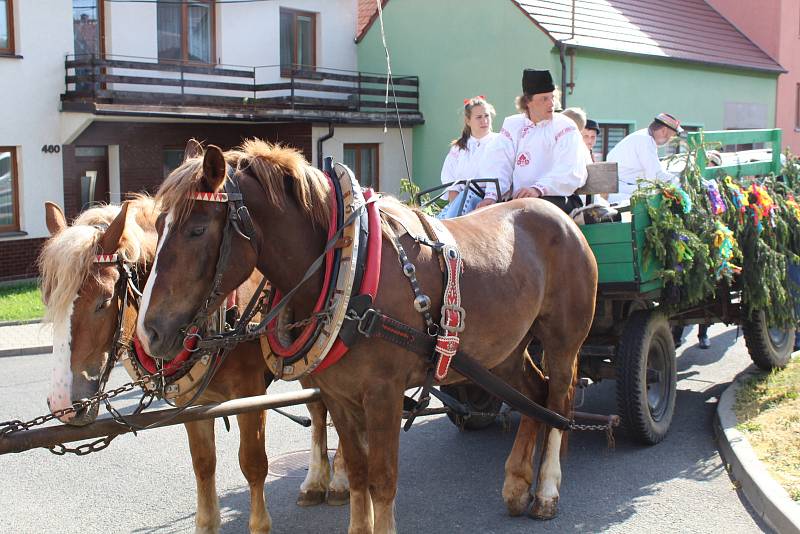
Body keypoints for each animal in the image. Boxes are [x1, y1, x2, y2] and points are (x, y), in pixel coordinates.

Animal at [39, 195, 346, 532]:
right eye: (48, 299)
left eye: (103, 302)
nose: (62, 404)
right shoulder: (191, 403)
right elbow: (203, 463)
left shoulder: (249, 394)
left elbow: (253, 464)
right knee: (319, 409)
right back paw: (316, 482)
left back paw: (339, 480)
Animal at [138, 140, 596, 532]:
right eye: (158, 225)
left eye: (197, 229)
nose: (149, 331)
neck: (350, 267)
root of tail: (559, 216)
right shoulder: (338, 394)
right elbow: (358, 473)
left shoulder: (384, 394)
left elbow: (383, 479)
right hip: (503, 353)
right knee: (534, 395)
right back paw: (517, 484)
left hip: (562, 340)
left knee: (558, 399)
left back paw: (546, 491)